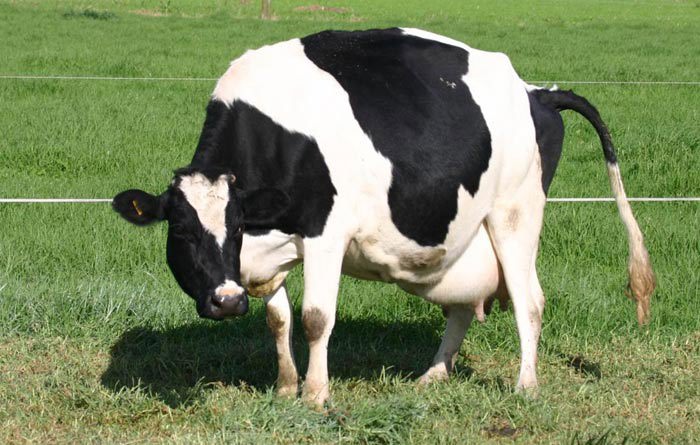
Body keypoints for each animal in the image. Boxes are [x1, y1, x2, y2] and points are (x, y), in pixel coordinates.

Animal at [113, 28, 655, 406]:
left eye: (236, 224)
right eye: (182, 229)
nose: (226, 302)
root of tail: (536, 91)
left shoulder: (326, 233)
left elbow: (315, 318)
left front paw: (316, 395)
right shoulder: (267, 255)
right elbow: (277, 317)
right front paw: (286, 386)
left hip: (515, 214)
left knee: (531, 301)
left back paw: (525, 385)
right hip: (465, 236)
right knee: (463, 306)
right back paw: (433, 374)